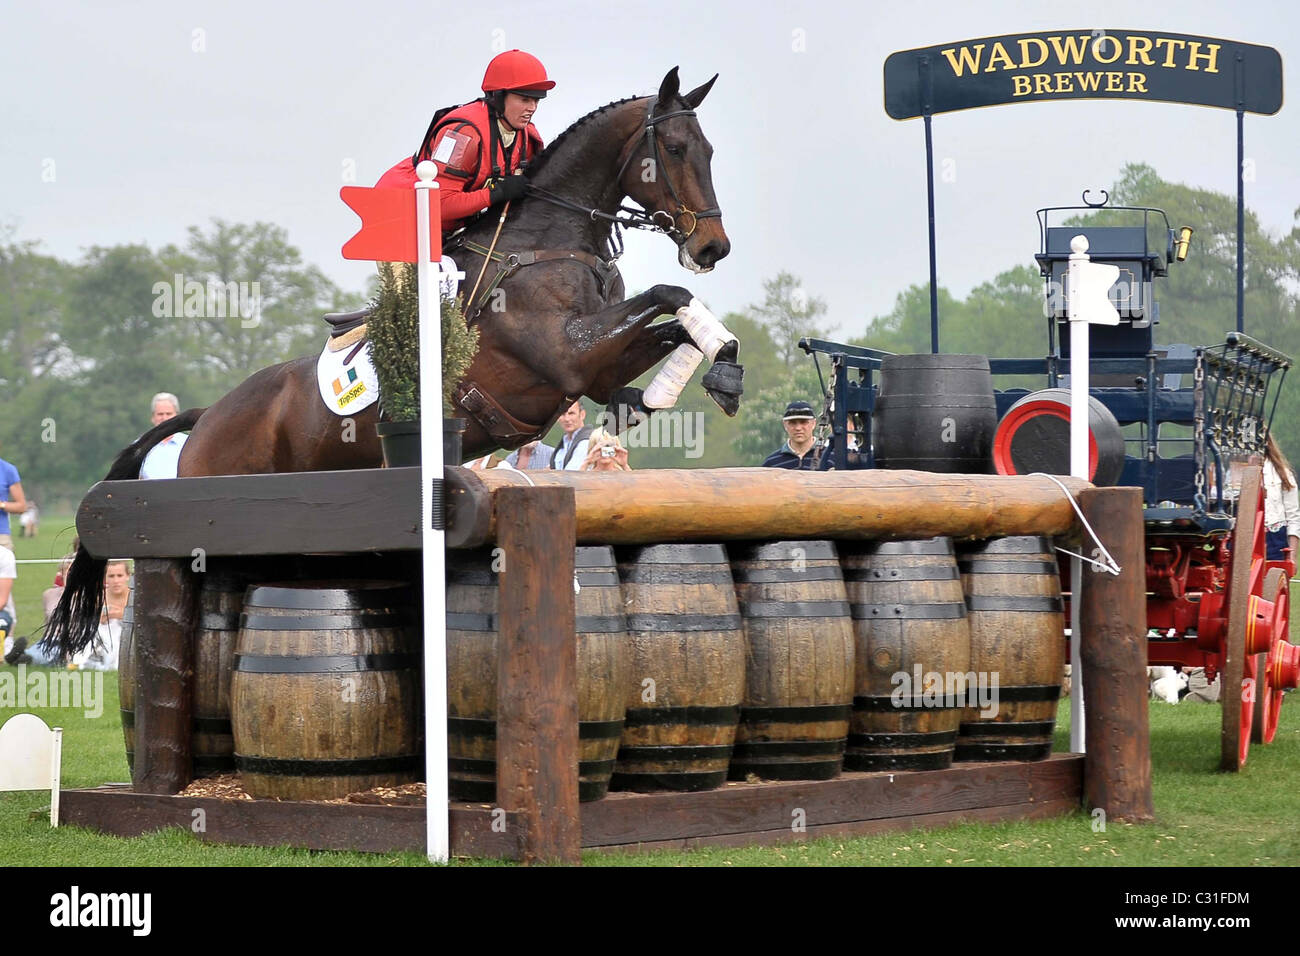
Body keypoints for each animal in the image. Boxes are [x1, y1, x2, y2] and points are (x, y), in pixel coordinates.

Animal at [48, 67, 743, 658]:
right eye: (673, 149)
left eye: (710, 150)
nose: (713, 247)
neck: (547, 243)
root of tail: (209, 415)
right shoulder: (569, 357)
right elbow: (670, 296)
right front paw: (712, 369)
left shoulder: (594, 366)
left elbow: (669, 324)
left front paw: (706, 377)